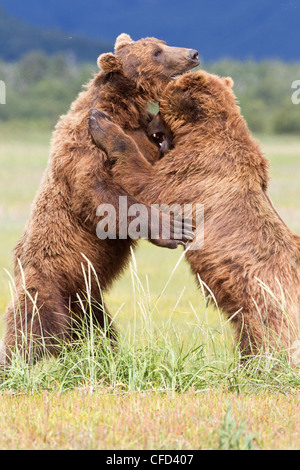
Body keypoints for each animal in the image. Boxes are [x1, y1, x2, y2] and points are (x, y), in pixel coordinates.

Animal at [1, 35, 202, 364]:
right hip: (48, 280)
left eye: (162, 43)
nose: (193, 53)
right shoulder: (83, 146)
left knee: (98, 330)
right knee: (32, 327)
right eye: (157, 52)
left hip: (87, 299)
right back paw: (17, 361)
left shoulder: (145, 135)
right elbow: (101, 195)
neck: (124, 109)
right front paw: (173, 228)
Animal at [88, 70, 300, 356]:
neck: (200, 133)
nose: (149, 125)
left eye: (160, 107)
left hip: (268, 304)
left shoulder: (196, 170)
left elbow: (147, 182)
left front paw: (101, 123)